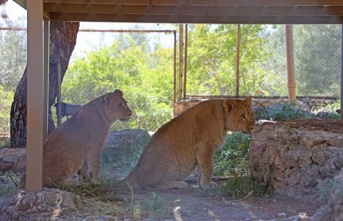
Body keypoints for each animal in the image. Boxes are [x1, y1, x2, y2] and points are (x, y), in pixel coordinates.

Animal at [122, 97, 254, 189]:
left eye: (252, 114)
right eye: (243, 116)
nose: (253, 127)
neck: (223, 118)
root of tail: (136, 169)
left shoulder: (202, 150)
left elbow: (201, 169)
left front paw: (201, 184)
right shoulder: (205, 147)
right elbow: (208, 168)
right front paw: (207, 185)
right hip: (168, 155)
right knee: (148, 184)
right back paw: (179, 184)